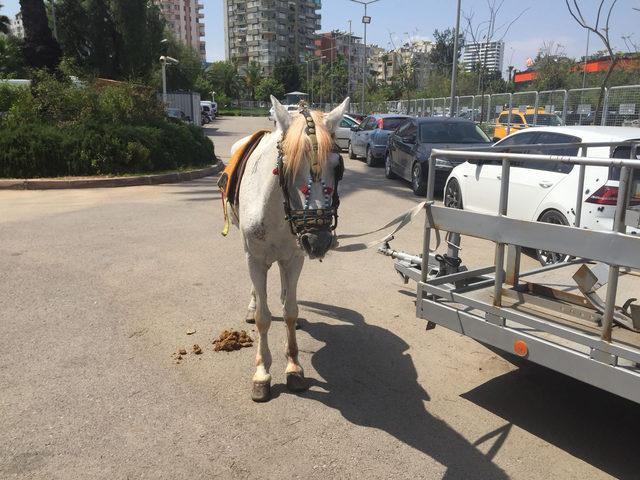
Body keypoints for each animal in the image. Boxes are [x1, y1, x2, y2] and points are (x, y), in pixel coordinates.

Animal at [231, 96, 350, 402]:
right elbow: (263, 318)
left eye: (339, 166)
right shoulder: (256, 259)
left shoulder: (295, 258)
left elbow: (290, 312)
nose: (319, 240)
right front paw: (262, 372)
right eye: (285, 168)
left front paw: (294, 367)